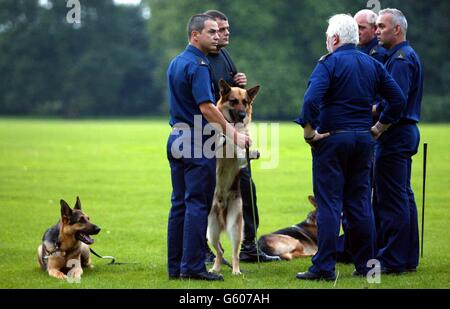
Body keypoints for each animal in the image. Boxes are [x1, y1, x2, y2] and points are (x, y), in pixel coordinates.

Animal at [207, 80, 260, 274]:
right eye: (233, 101)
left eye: (245, 102)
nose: (243, 115)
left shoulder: (240, 160)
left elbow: (242, 151)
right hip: (211, 232)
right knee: (220, 251)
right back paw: (215, 269)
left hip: (235, 228)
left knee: (234, 254)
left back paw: (235, 270)